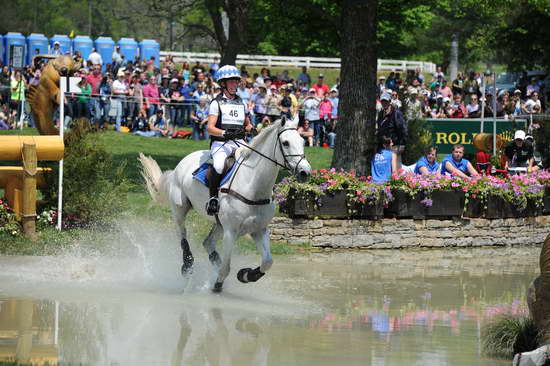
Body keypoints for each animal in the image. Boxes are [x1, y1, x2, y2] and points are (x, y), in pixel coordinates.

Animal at [139, 117, 310, 292]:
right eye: (286, 143)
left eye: (303, 141)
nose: (305, 172)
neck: (253, 186)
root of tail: (183, 162)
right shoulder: (231, 231)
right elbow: (226, 268)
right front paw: (217, 286)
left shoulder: (259, 229)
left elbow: (267, 262)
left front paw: (245, 275)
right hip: (180, 209)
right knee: (182, 234)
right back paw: (187, 265)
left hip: (219, 224)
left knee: (208, 242)